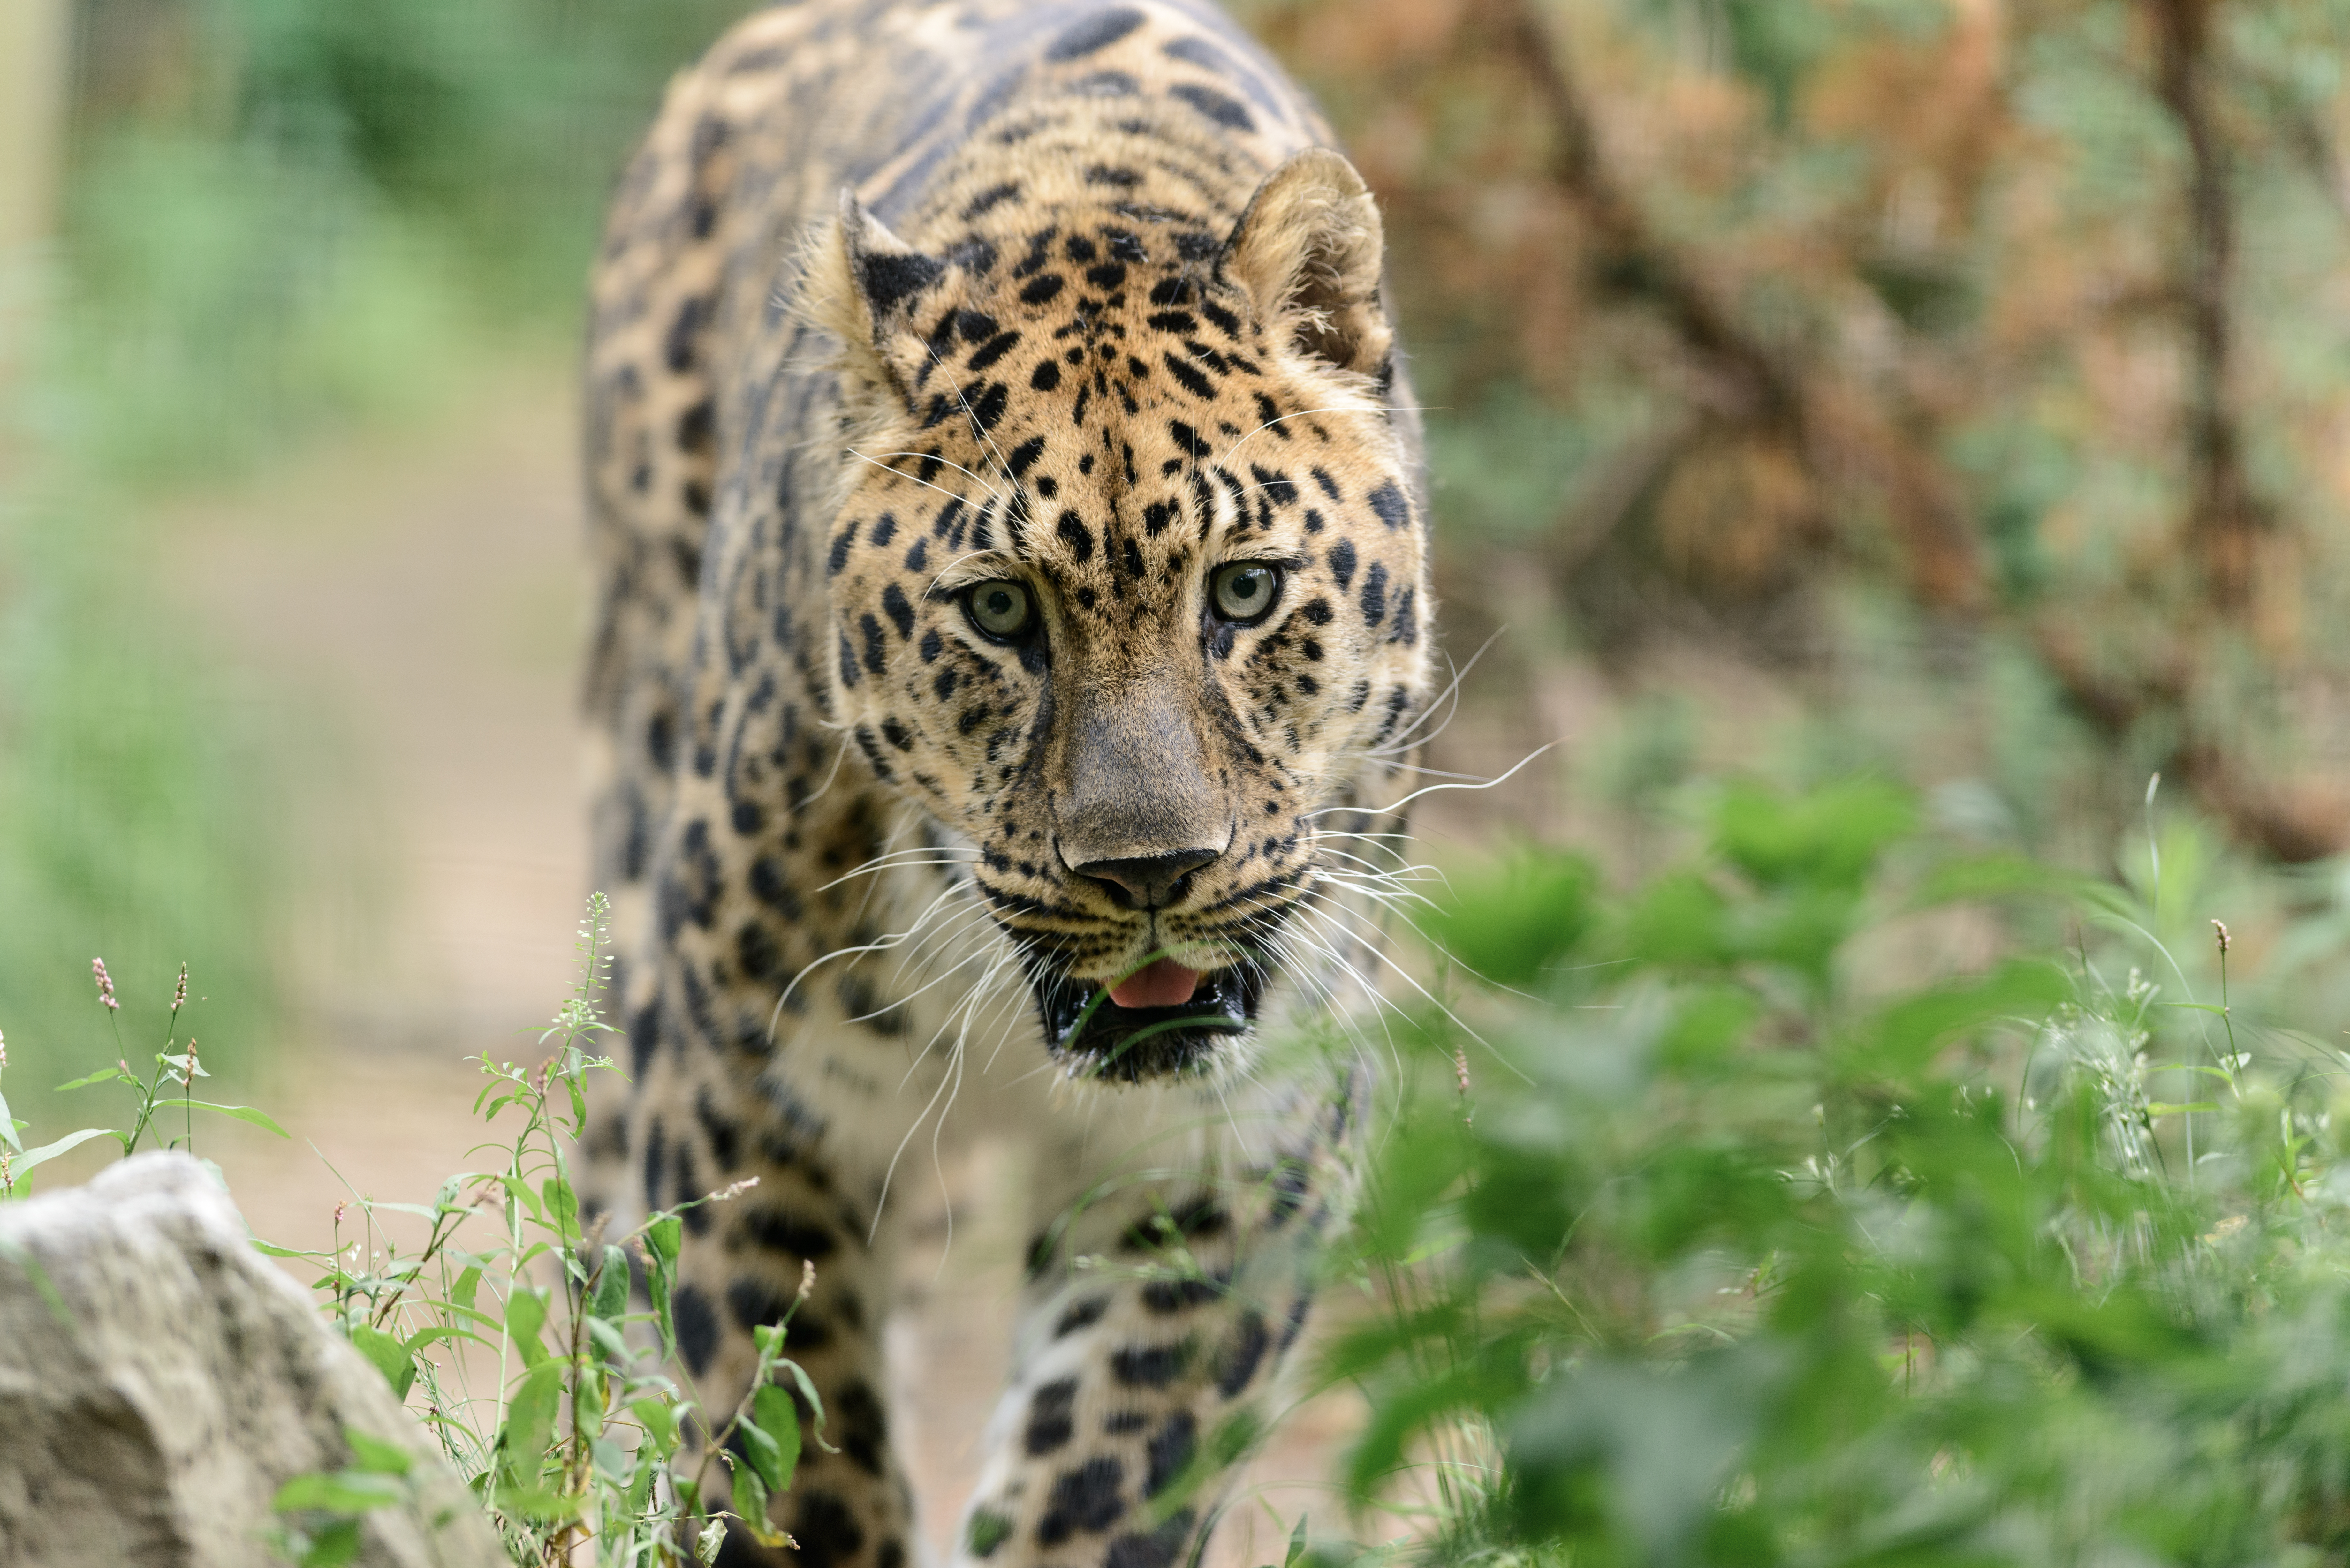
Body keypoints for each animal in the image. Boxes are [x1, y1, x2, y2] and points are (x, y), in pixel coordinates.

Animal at [578, 6, 1438, 1561]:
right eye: (997, 611)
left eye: (1245, 590)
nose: (1151, 873)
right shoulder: (742, 1093)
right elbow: (783, 1440)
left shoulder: (1237, 1156)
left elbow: (1109, 1476)